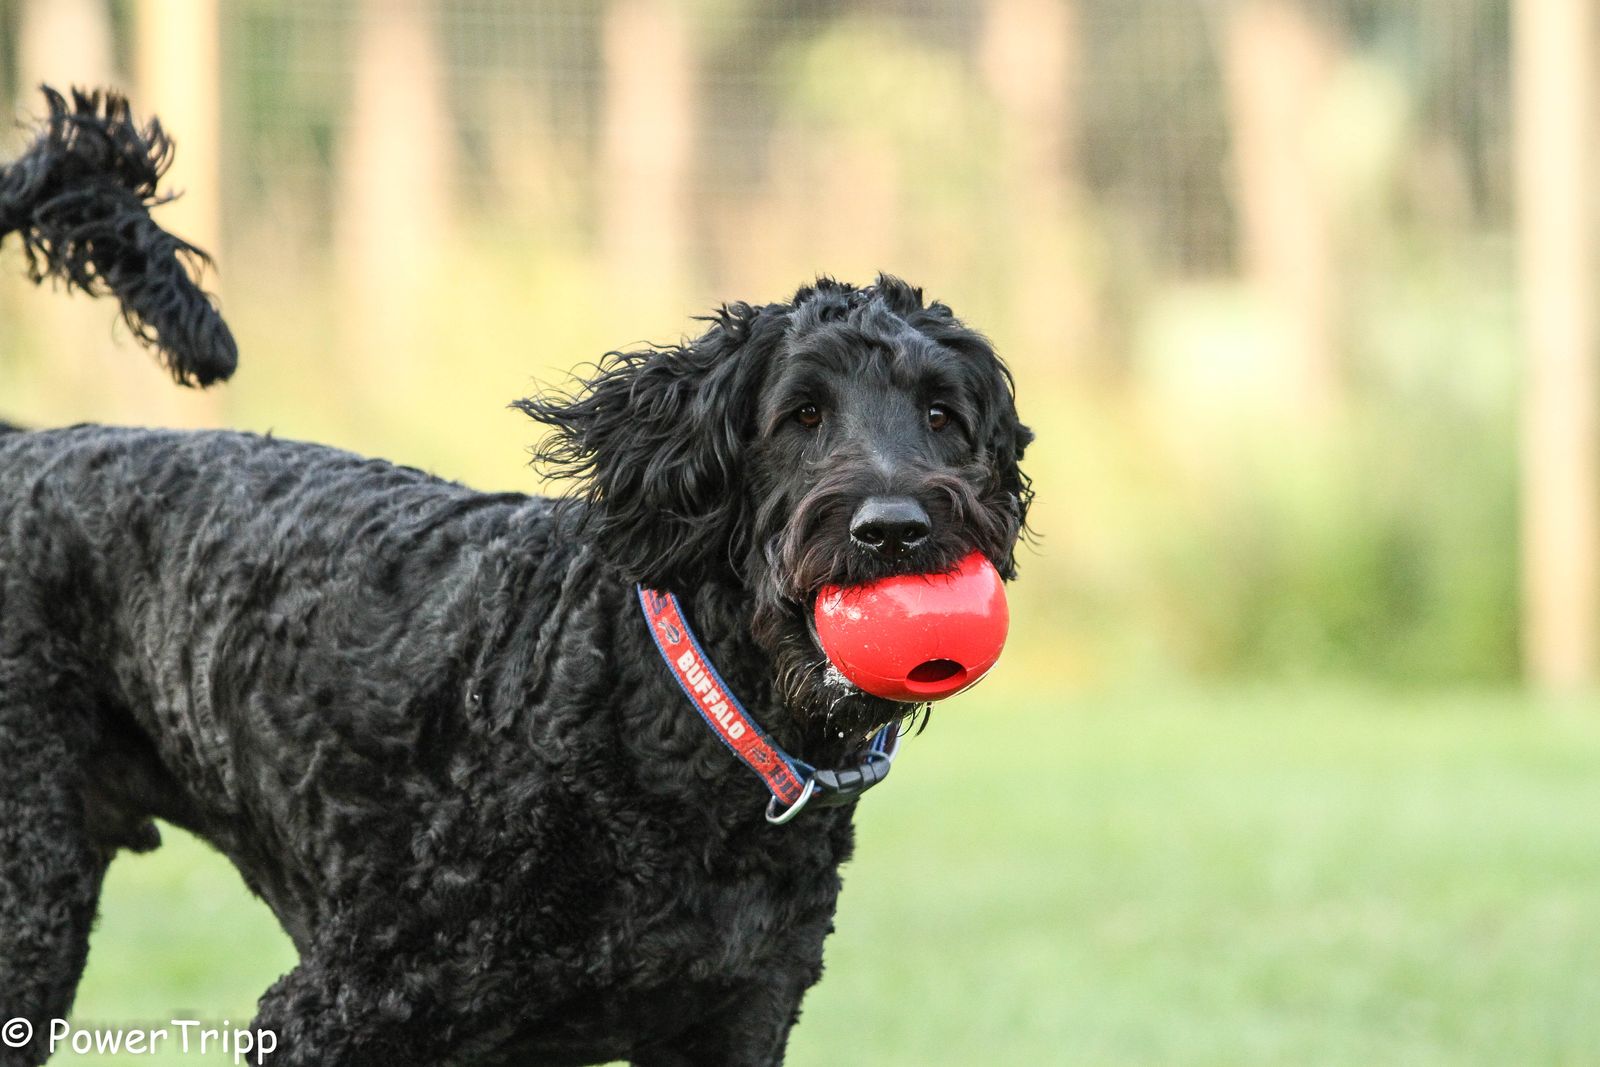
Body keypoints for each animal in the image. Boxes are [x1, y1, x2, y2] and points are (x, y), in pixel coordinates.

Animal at [0, 88, 1031, 1066]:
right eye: (801, 415)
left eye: (942, 415)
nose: (894, 529)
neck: (660, 705)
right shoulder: (336, 1009)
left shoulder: (735, 1018)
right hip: (32, 903)